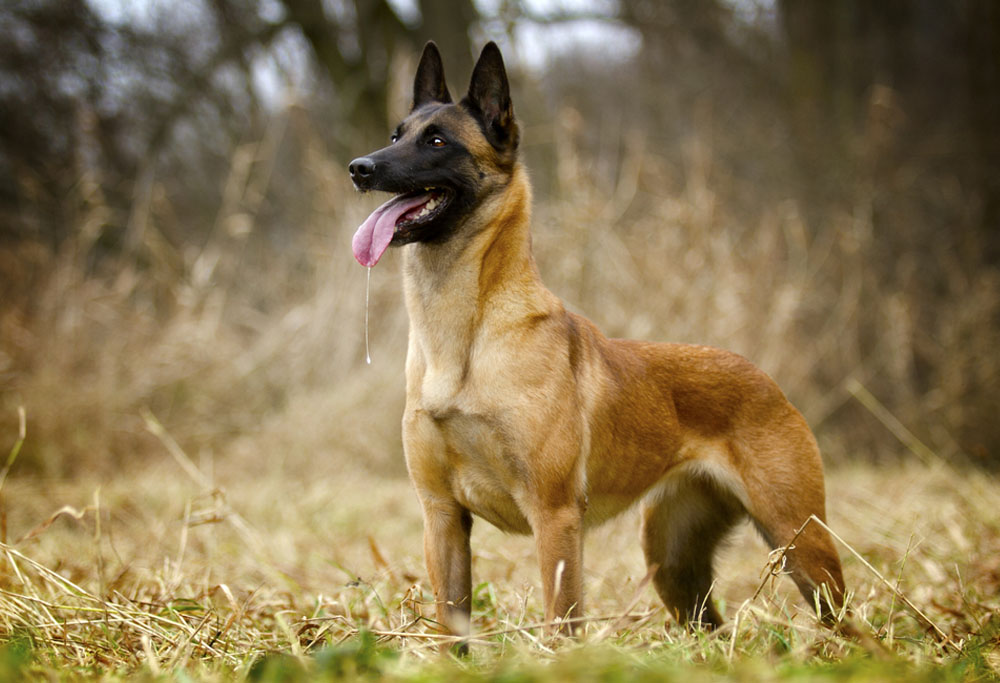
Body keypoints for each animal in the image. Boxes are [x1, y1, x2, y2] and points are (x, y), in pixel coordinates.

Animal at [350, 41, 844, 640]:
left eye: (437, 141)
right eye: (396, 134)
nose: (359, 168)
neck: (463, 339)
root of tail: (764, 378)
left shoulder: (555, 516)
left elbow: (562, 621)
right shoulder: (442, 517)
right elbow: (453, 629)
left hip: (801, 544)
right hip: (674, 562)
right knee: (709, 627)